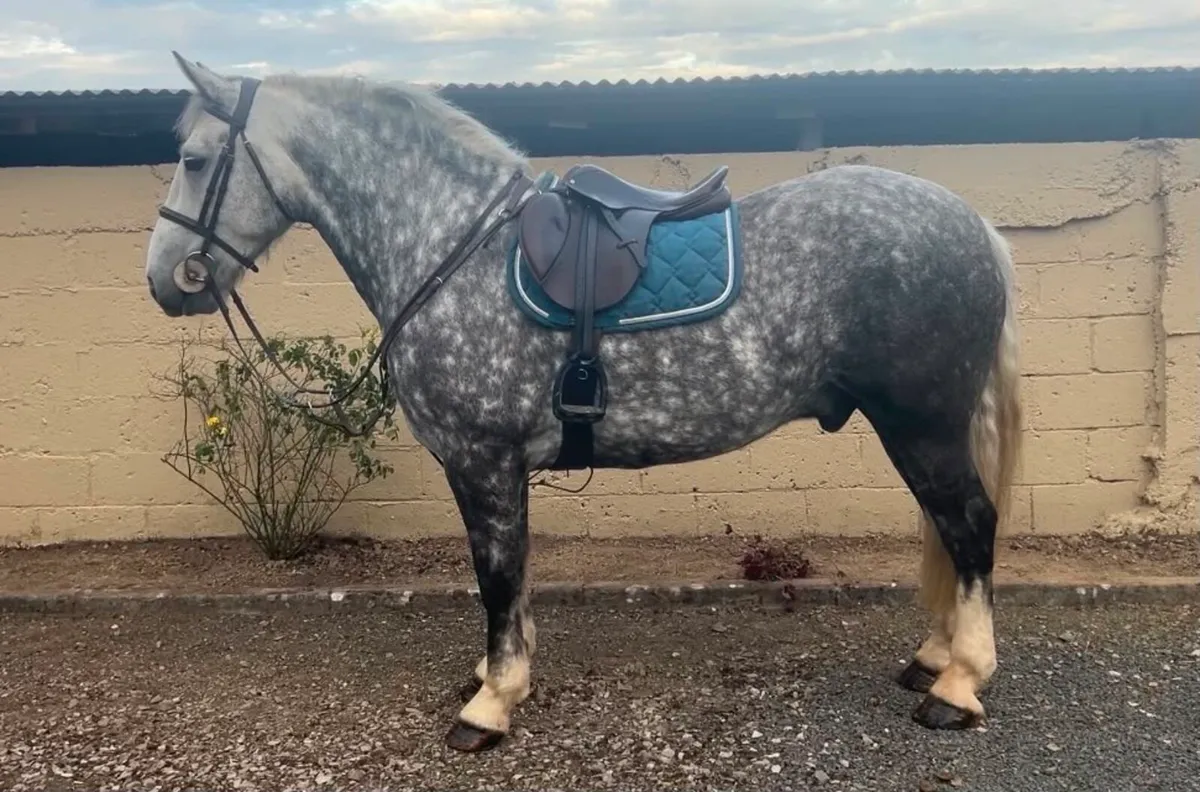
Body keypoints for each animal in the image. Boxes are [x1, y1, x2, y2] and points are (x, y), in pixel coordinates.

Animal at [144, 52, 1022, 753]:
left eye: (192, 158)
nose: (165, 279)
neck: (452, 248)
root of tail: (975, 224)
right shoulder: (499, 468)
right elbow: (514, 575)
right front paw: (498, 674)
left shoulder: (482, 460)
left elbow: (497, 574)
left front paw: (491, 705)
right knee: (949, 531)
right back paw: (934, 660)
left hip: (921, 424)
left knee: (969, 524)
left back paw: (959, 686)